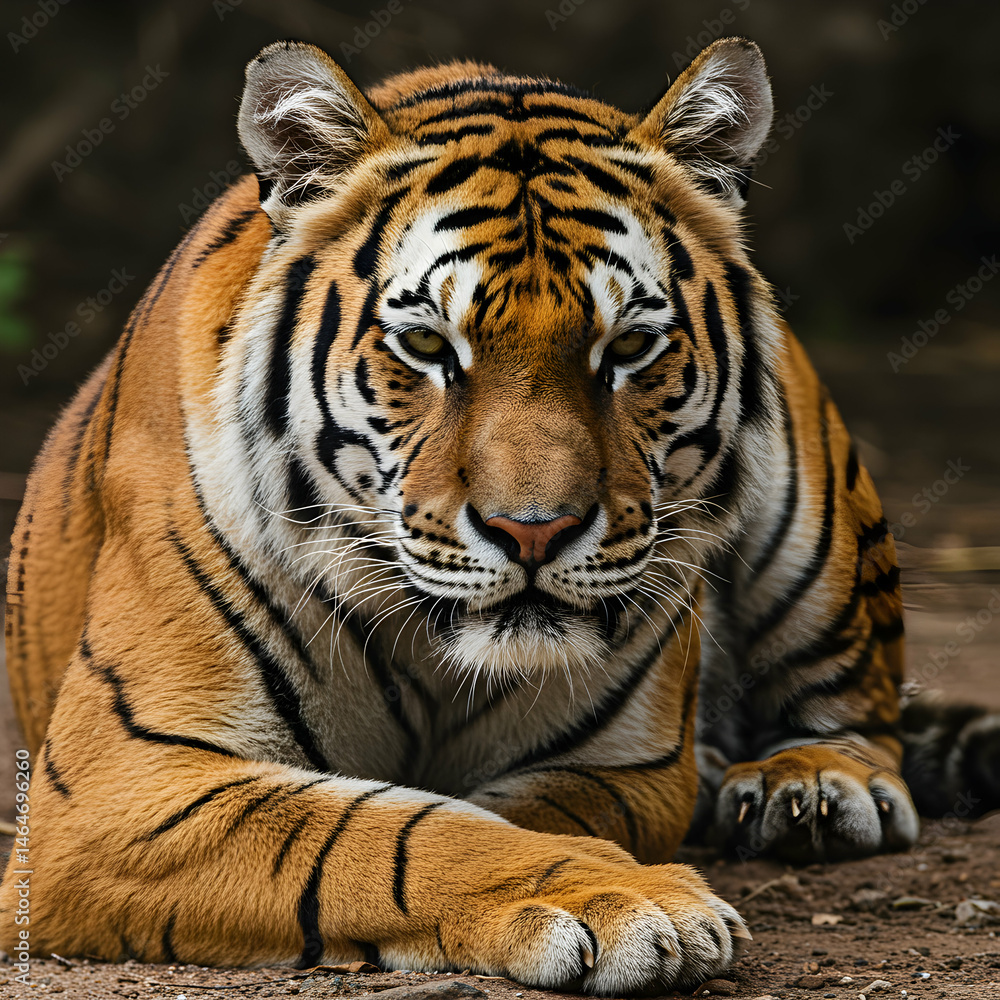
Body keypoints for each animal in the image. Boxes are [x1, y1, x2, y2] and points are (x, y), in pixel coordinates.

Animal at [4, 35, 1000, 995]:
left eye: (629, 347)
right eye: (426, 345)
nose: (534, 530)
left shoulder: (624, 768)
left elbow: (494, 814)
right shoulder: (117, 787)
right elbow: (400, 831)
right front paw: (627, 899)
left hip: (813, 520)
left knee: (858, 705)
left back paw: (814, 787)